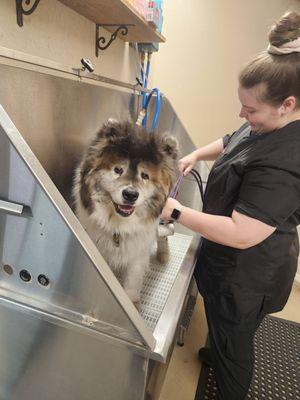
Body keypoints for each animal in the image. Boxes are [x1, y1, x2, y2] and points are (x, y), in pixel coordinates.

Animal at [73, 119, 178, 306]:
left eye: (145, 176)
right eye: (118, 170)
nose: (130, 194)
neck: (118, 226)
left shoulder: (138, 253)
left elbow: (132, 281)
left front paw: (131, 302)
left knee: (164, 235)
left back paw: (163, 255)